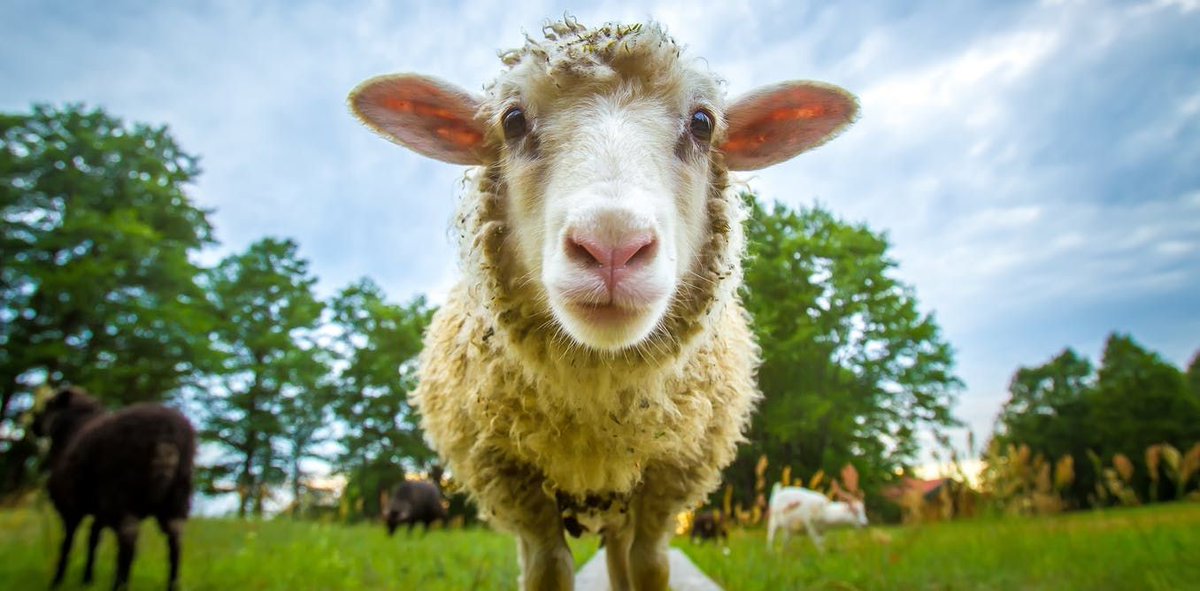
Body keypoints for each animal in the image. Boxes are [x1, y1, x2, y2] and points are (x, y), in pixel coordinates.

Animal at [32, 386, 196, 591]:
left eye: (48, 404)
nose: (34, 426)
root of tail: (166, 436)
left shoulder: (70, 506)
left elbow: (68, 543)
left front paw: (57, 581)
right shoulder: (99, 511)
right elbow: (93, 540)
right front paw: (87, 579)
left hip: (121, 493)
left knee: (128, 536)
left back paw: (119, 585)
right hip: (177, 496)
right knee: (176, 538)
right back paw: (173, 585)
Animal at [349, 18, 858, 590]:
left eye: (703, 123)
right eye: (512, 120)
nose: (612, 245)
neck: (596, 408)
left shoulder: (668, 475)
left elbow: (650, 564)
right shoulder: (514, 480)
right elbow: (548, 568)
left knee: (621, 558)